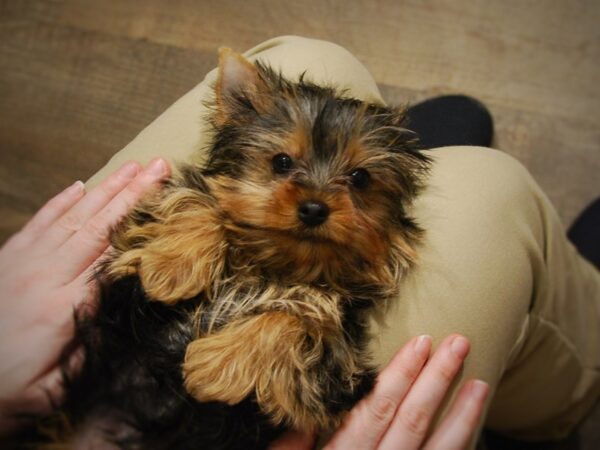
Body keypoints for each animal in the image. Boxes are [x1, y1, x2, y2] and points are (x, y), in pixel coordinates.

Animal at [32, 47, 428, 448]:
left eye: (360, 178)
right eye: (281, 162)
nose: (314, 208)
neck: (272, 265)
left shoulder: (337, 370)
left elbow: (298, 318)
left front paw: (212, 367)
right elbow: (204, 202)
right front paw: (171, 268)